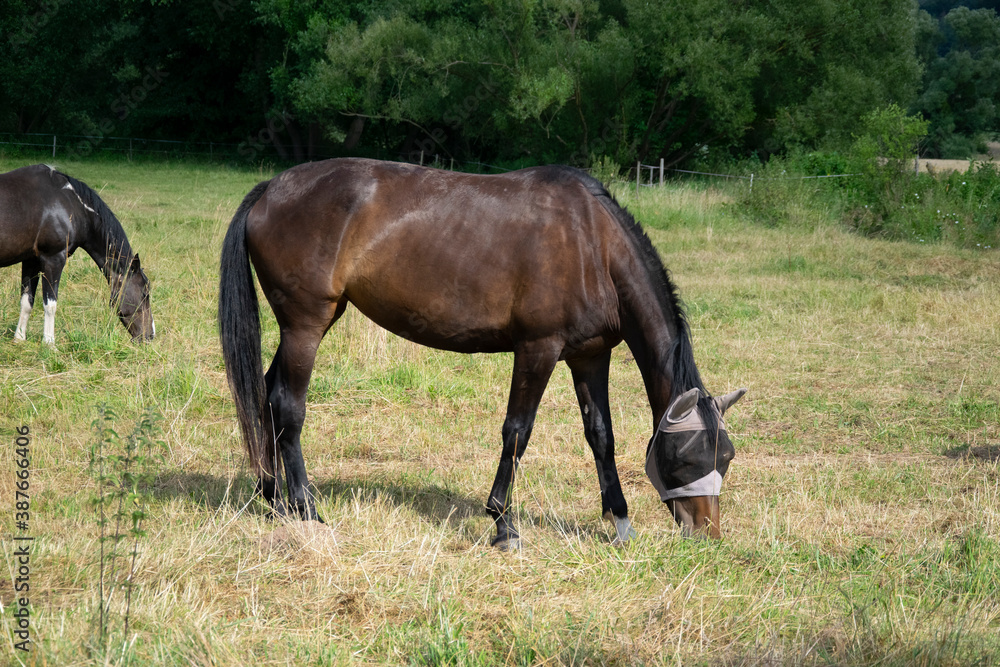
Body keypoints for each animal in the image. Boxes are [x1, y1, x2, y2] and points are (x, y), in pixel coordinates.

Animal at [0, 164, 154, 345]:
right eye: (145, 293)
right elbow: (50, 305)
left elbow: (26, 301)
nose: (150, 336)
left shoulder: (31, 260)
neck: (68, 203)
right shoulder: (53, 259)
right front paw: (49, 343)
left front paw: (19, 338)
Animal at [218, 158, 746, 547]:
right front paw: (503, 524)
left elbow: (601, 436)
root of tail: (269, 189)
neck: (593, 243)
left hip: (304, 328)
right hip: (306, 325)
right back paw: (306, 508)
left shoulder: (589, 356)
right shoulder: (537, 348)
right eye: (688, 456)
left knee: (266, 395)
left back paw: (273, 500)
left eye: (726, 456)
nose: (707, 533)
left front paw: (620, 523)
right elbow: (517, 432)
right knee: (288, 404)